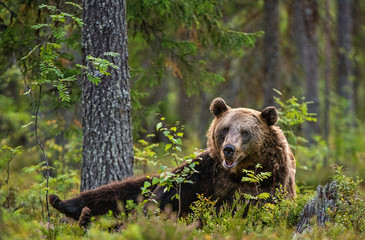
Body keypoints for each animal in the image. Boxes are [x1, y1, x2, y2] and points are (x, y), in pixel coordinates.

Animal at [49, 97, 296, 225]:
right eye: (225, 129)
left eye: (245, 132)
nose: (228, 150)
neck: (236, 173)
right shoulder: (203, 172)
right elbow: (164, 197)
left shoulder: (267, 184)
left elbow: (249, 211)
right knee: (116, 191)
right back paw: (65, 204)